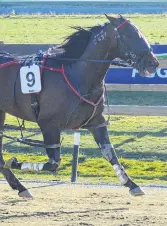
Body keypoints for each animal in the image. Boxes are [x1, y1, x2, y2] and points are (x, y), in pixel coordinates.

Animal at [0, 15, 158, 197]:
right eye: (129, 34)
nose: (153, 63)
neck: (77, 75)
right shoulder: (48, 124)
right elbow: (53, 163)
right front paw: (13, 162)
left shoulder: (97, 122)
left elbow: (109, 153)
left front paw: (131, 184)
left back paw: (21, 187)